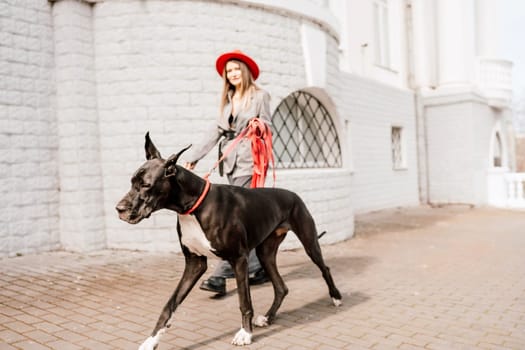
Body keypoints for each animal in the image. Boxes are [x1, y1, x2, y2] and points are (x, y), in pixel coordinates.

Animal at [116, 133, 342, 348]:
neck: (194, 207)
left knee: (325, 268)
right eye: (131, 182)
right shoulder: (195, 263)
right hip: (265, 253)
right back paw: (268, 317)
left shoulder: (239, 259)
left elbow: (244, 302)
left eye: (146, 185)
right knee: (281, 287)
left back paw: (336, 297)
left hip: (309, 241)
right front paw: (151, 340)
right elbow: (170, 305)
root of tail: (293, 194)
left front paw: (245, 334)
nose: (119, 209)